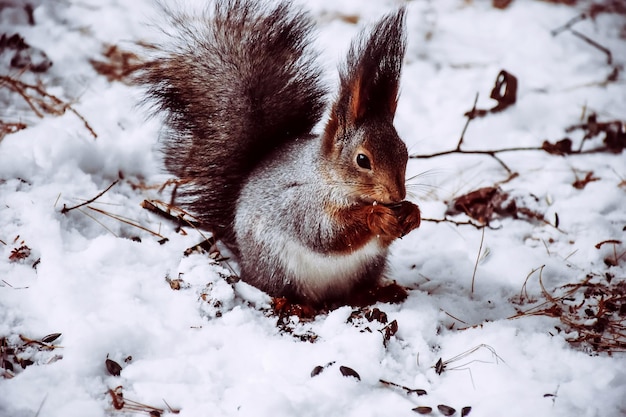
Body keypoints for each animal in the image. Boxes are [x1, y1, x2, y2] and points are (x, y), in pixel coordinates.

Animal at [137, 0, 420, 306]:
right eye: (362, 160)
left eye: (404, 151)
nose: (397, 196)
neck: (330, 178)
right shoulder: (302, 203)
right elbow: (326, 235)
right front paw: (377, 216)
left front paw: (411, 213)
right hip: (276, 266)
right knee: (280, 289)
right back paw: (296, 306)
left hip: (368, 267)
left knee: (356, 291)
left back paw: (380, 292)